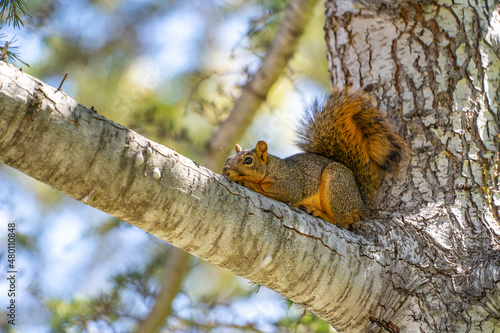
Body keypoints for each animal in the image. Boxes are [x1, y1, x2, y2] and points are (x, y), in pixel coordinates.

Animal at [223, 89, 406, 228]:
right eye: (227, 159)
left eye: (248, 160)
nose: (225, 171)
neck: (270, 167)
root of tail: (362, 205)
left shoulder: (288, 182)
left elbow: (286, 192)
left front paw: (248, 183)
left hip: (337, 183)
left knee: (341, 222)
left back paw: (320, 213)